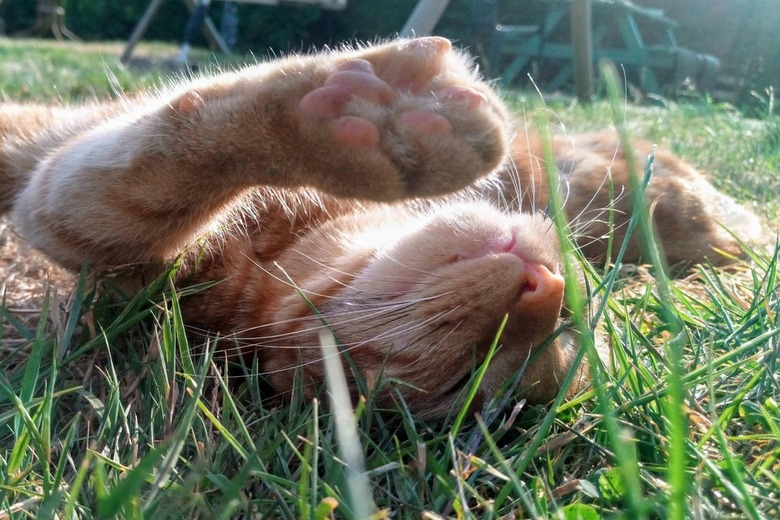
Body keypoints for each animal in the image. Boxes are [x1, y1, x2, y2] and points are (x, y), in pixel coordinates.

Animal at [0, 36, 760, 420]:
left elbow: (146, 173)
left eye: (471, 381)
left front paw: (351, 124)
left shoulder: (96, 239)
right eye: (575, 320)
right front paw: (385, 113)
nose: (546, 288)